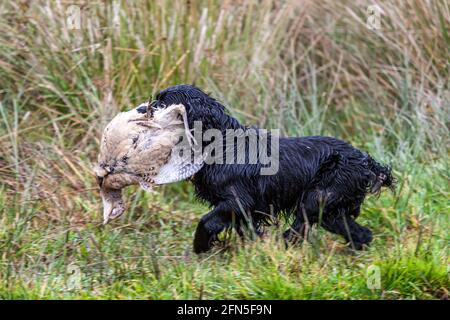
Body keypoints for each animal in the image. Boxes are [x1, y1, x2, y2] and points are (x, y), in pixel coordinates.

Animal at [148, 84, 394, 252]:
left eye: (162, 103)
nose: (143, 108)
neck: (222, 143)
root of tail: (365, 161)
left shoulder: (238, 201)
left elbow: (206, 221)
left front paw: (200, 246)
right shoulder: (244, 210)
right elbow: (247, 230)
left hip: (317, 197)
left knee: (300, 228)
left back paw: (282, 245)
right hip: (330, 210)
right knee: (361, 233)